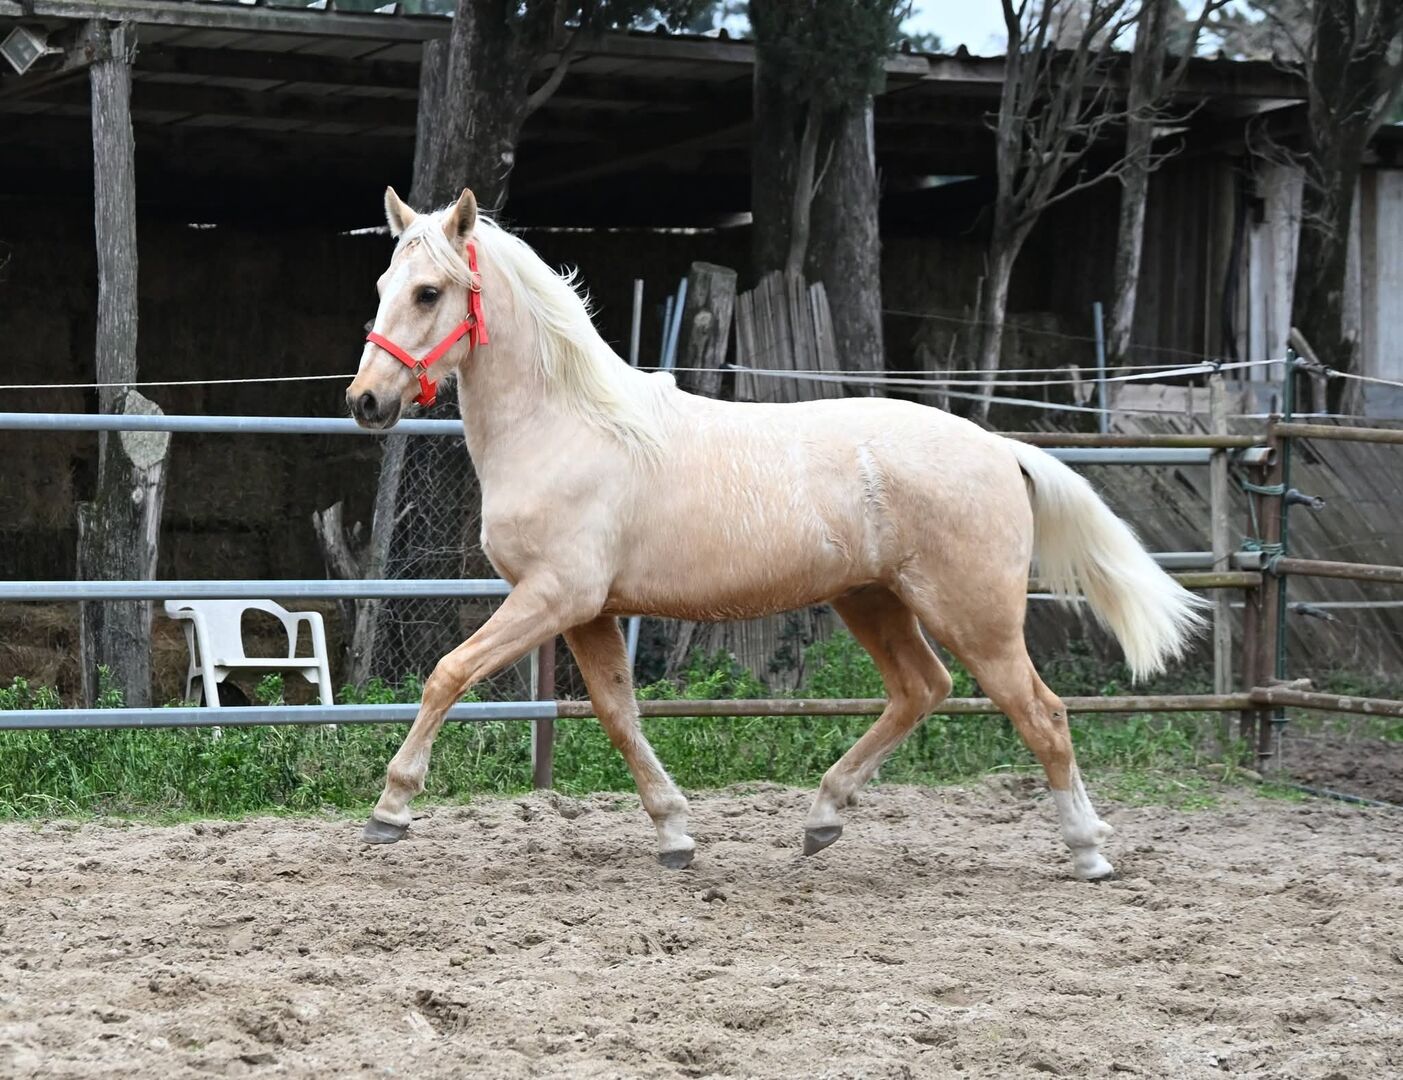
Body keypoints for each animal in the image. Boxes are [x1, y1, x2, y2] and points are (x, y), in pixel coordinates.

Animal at [346, 187, 1206, 881]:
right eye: (382, 286)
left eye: (428, 291)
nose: (366, 401)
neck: (568, 428)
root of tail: (1000, 447)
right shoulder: (589, 612)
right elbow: (620, 717)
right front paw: (675, 835)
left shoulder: (554, 596)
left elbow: (448, 674)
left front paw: (390, 810)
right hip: (872, 599)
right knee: (921, 689)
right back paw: (821, 819)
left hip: (976, 616)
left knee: (1041, 714)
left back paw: (1088, 853)